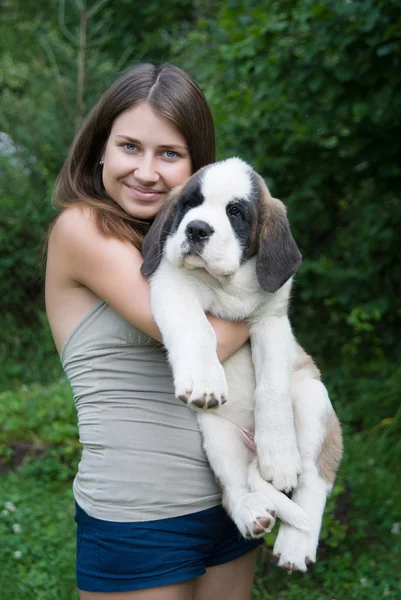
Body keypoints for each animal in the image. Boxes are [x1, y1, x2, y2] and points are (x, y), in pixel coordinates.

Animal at [141, 157, 340, 568]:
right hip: (217, 436)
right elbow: (198, 329)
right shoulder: (173, 286)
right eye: (189, 204)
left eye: (235, 213)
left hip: (313, 399)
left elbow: (272, 387)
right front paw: (204, 381)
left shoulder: (272, 321)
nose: (197, 229)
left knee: (315, 480)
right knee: (233, 487)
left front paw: (279, 456)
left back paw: (296, 542)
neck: (227, 285)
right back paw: (252, 513)